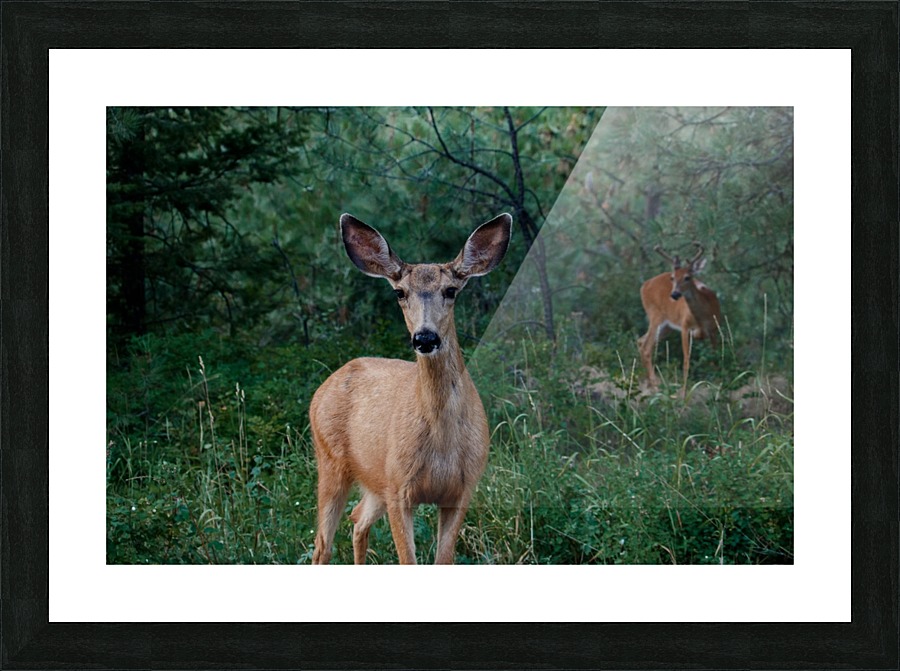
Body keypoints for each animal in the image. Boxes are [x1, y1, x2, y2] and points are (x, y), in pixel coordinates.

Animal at [309, 212, 512, 564]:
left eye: (451, 290)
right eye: (400, 293)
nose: (425, 338)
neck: (442, 444)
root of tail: (325, 386)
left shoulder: (462, 491)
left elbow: (443, 561)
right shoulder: (399, 489)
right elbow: (409, 561)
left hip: (376, 480)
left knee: (357, 519)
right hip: (331, 461)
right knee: (322, 544)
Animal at [638, 242, 722, 393]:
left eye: (687, 277)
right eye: (672, 277)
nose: (675, 294)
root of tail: (644, 285)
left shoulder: (714, 330)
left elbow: (714, 357)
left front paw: (716, 383)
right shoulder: (684, 326)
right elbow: (686, 360)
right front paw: (684, 390)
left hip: (666, 327)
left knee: (641, 341)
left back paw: (649, 382)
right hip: (655, 316)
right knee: (646, 347)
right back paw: (655, 384)